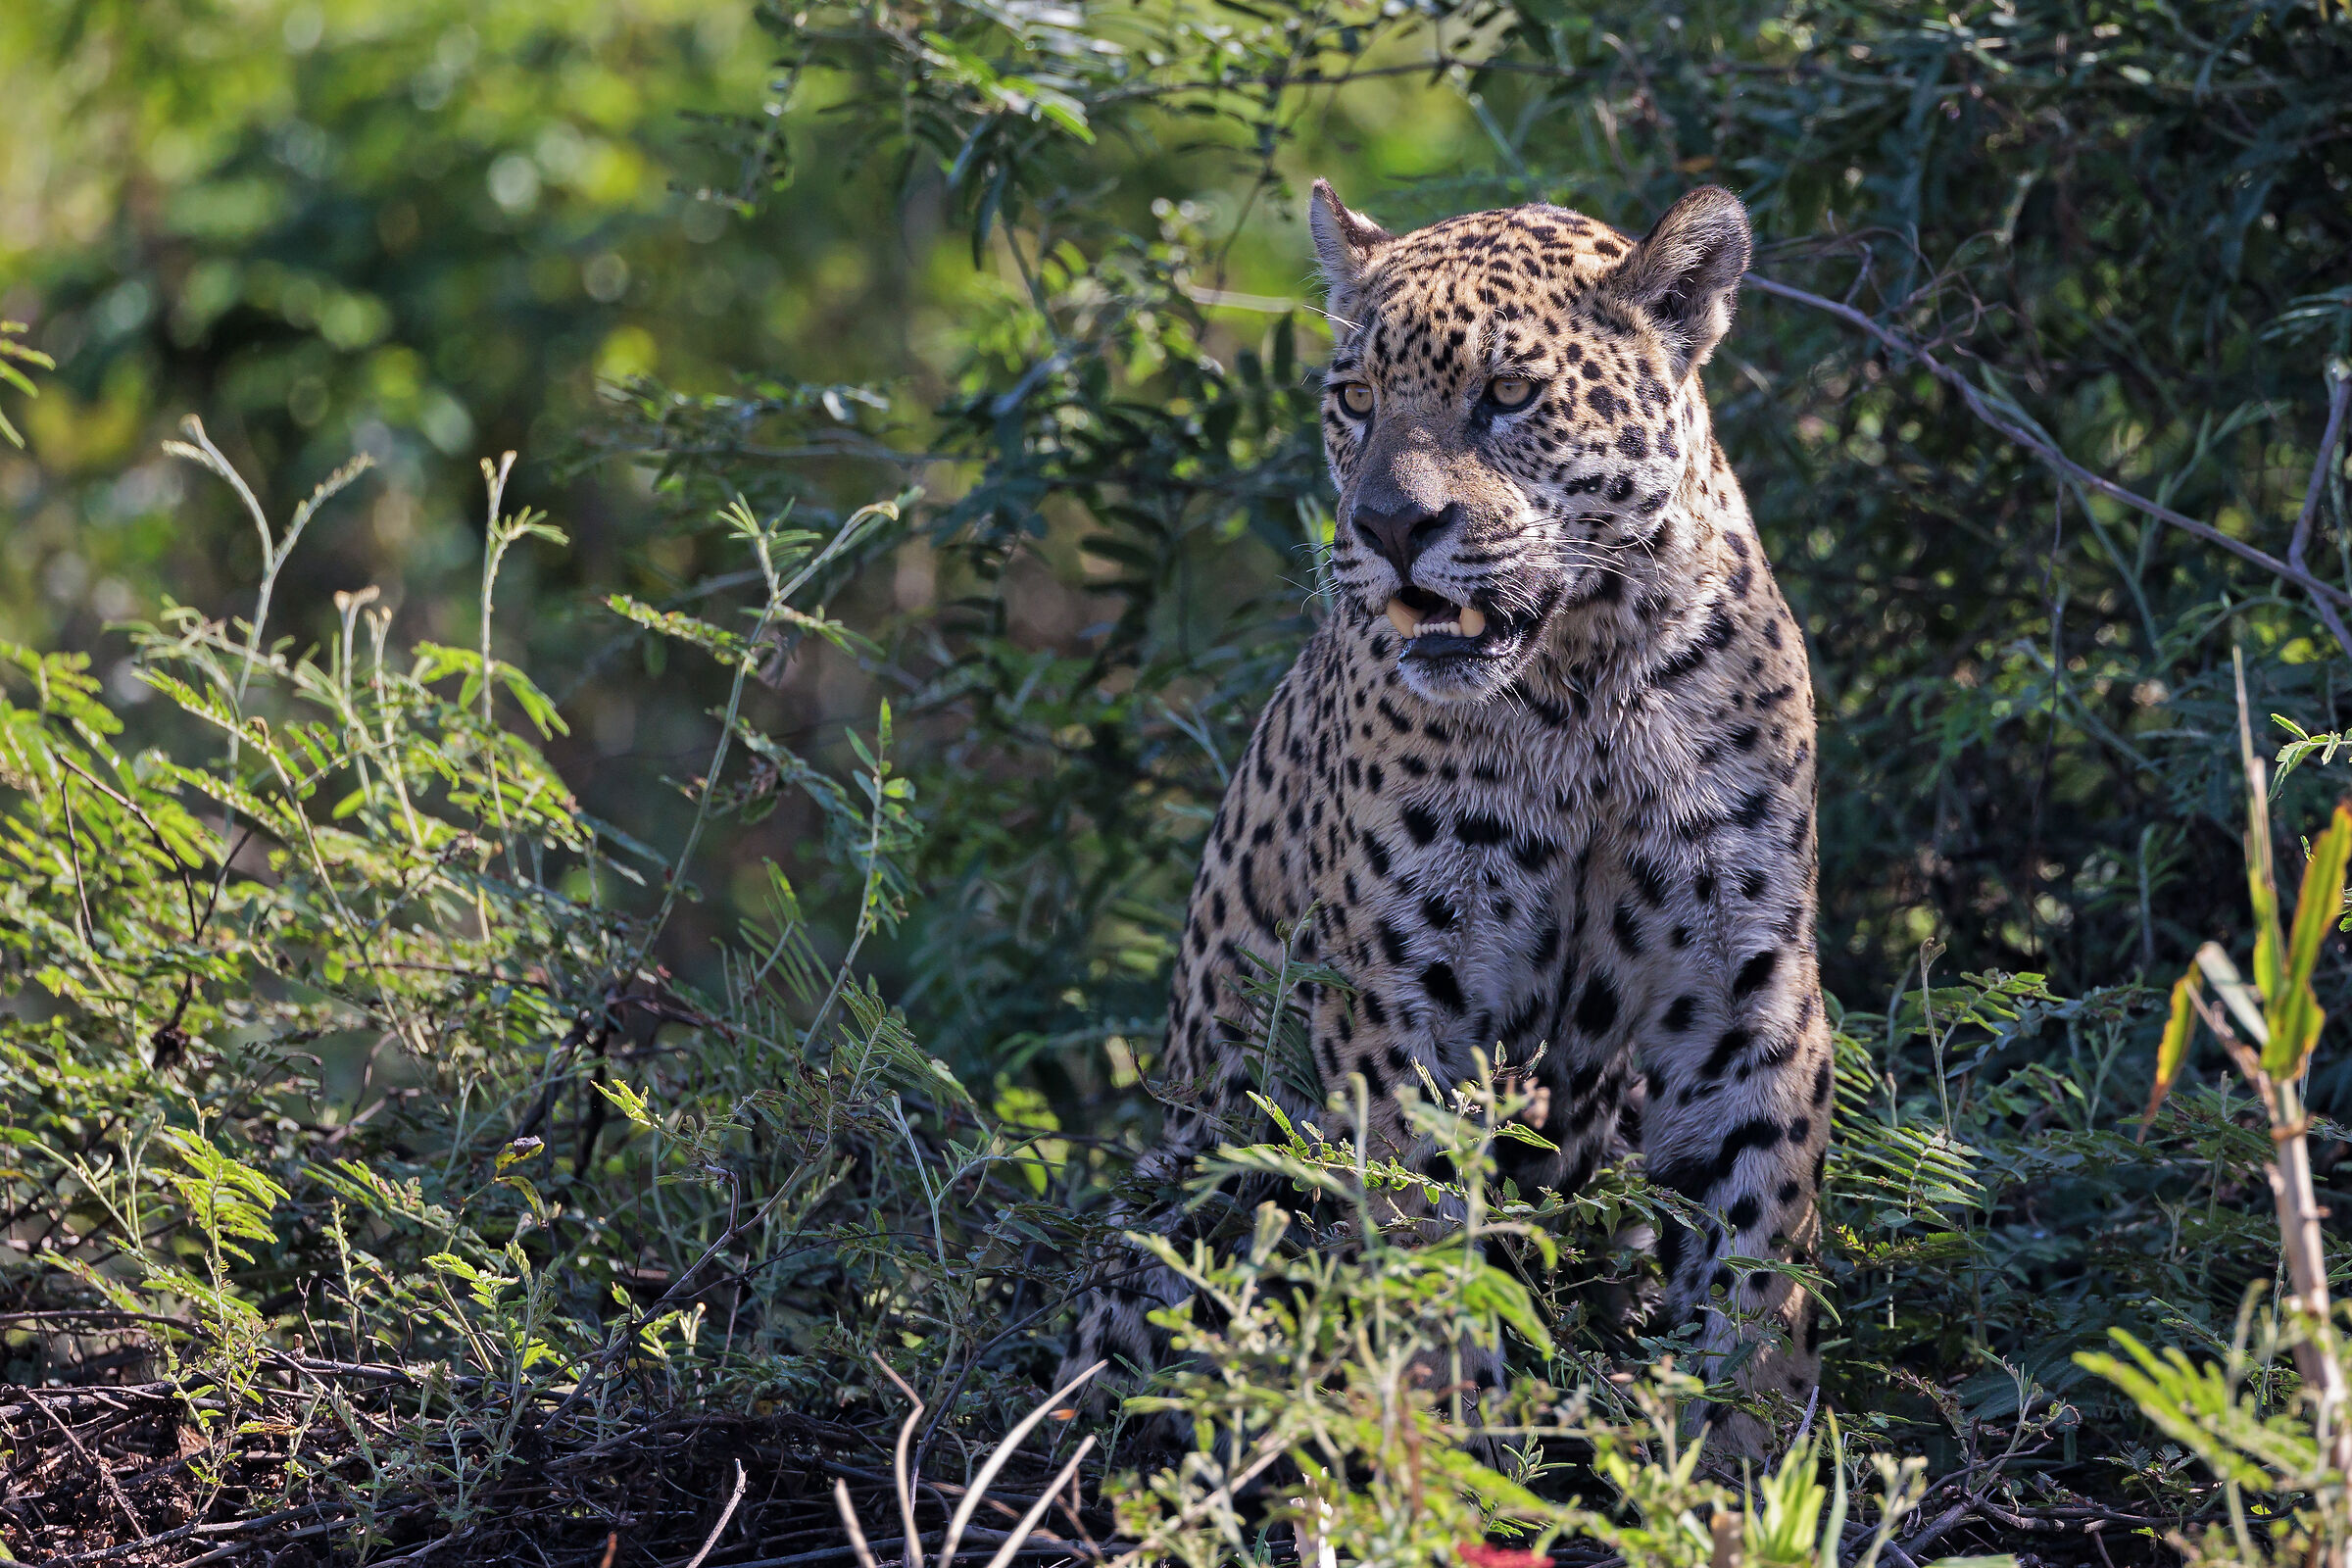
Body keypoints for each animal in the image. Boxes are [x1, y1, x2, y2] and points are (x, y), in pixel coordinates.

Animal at [1065, 180, 1831, 1460]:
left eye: (1508, 394)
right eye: (1356, 399)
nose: (1388, 527)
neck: (1583, 680)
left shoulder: (1742, 979)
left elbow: (1756, 1237)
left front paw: (1745, 1453)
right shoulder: (1408, 990)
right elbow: (1424, 1236)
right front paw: (1442, 1443)